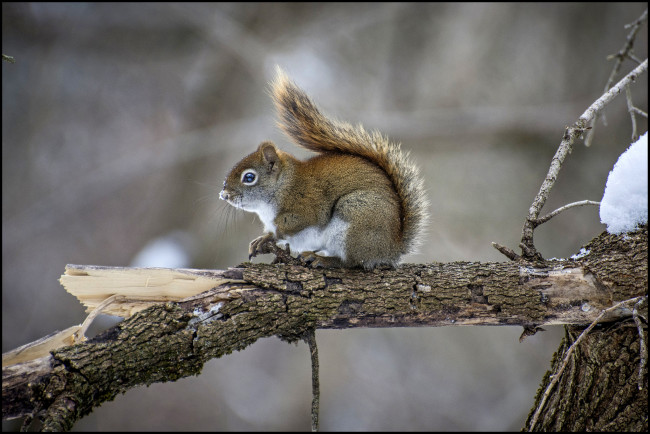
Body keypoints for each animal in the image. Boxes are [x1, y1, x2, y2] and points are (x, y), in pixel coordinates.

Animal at [220, 67, 428, 268]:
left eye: (249, 177)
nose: (224, 194)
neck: (282, 186)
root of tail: (392, 248)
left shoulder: (305, 205)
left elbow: (292, 226)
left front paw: (270, 236)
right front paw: (261, 239)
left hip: (356, 215)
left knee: (352, 262)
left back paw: (323, 260)